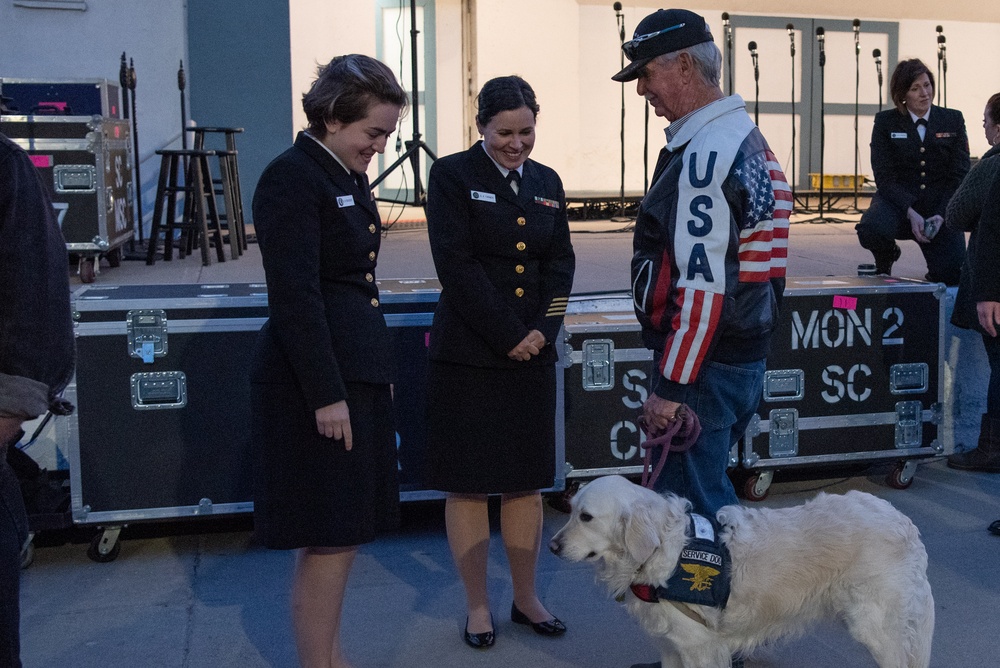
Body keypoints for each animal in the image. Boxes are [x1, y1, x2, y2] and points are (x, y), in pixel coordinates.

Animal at [552, 474, 932, 668]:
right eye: (571, 510)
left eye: (586, 517)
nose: (553, 546)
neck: (664, 554)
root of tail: (904, 521)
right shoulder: (672, 647)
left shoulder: (700, 647)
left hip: (875, 625)